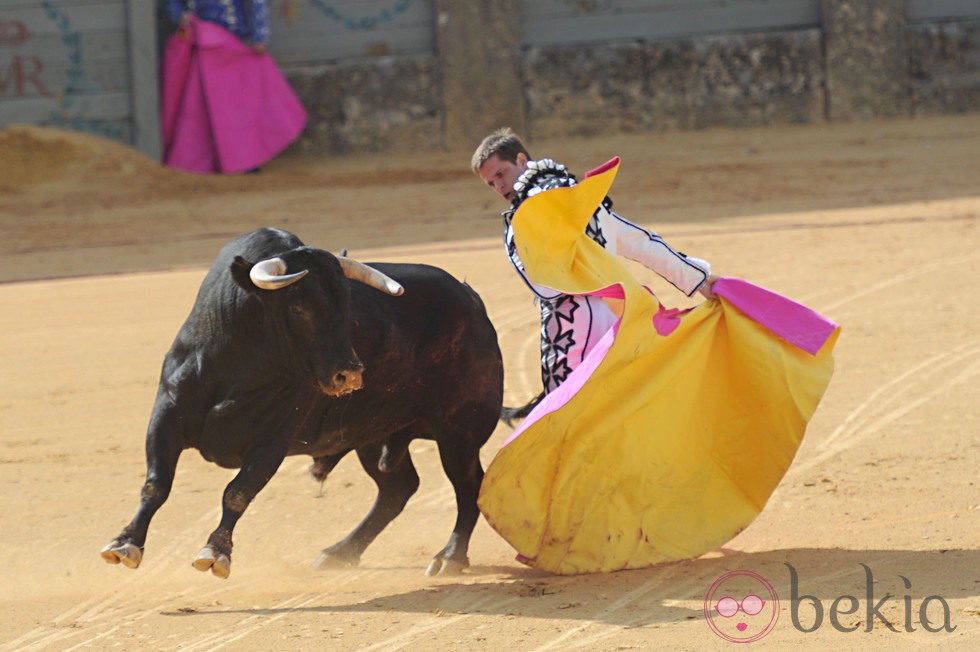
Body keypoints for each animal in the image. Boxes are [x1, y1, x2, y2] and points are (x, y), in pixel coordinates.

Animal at [101, 229, 506, 576]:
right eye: (299, 308)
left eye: (347, 306)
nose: (350, 374)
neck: (237, 360)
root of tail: (472, 302)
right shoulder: (166, 415)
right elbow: (156, 485)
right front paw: (125, 543)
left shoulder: (272, 440)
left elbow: (237, 492)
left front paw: (216, 552)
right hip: (373, 435)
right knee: (398, 487)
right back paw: (340, 553)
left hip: (459, 432)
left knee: (468, 485)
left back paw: (449, 557)